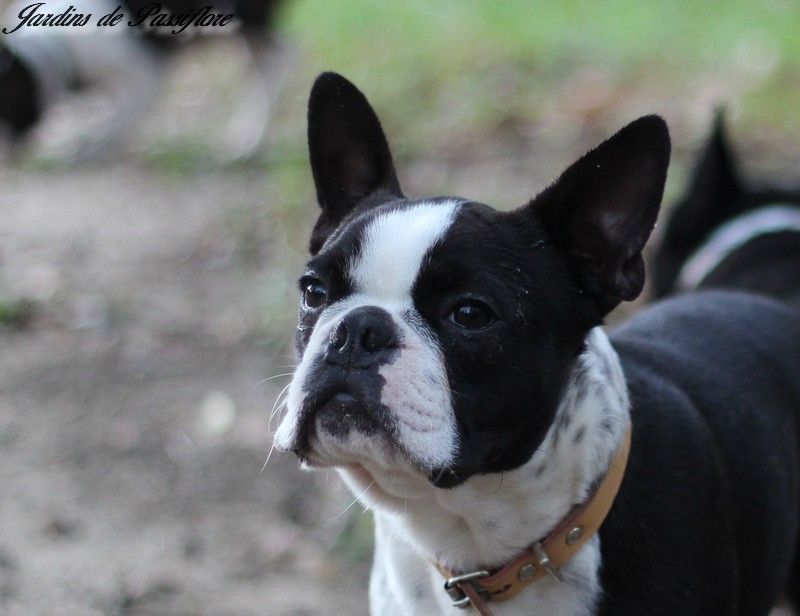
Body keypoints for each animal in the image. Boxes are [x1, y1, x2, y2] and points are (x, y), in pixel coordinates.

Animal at [0, 0, 288, 161]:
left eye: (7, 110)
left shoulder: (146, 74)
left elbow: (124, 117)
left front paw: (97, 148)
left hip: (242, 20)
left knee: (280, 58)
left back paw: (249, 139)